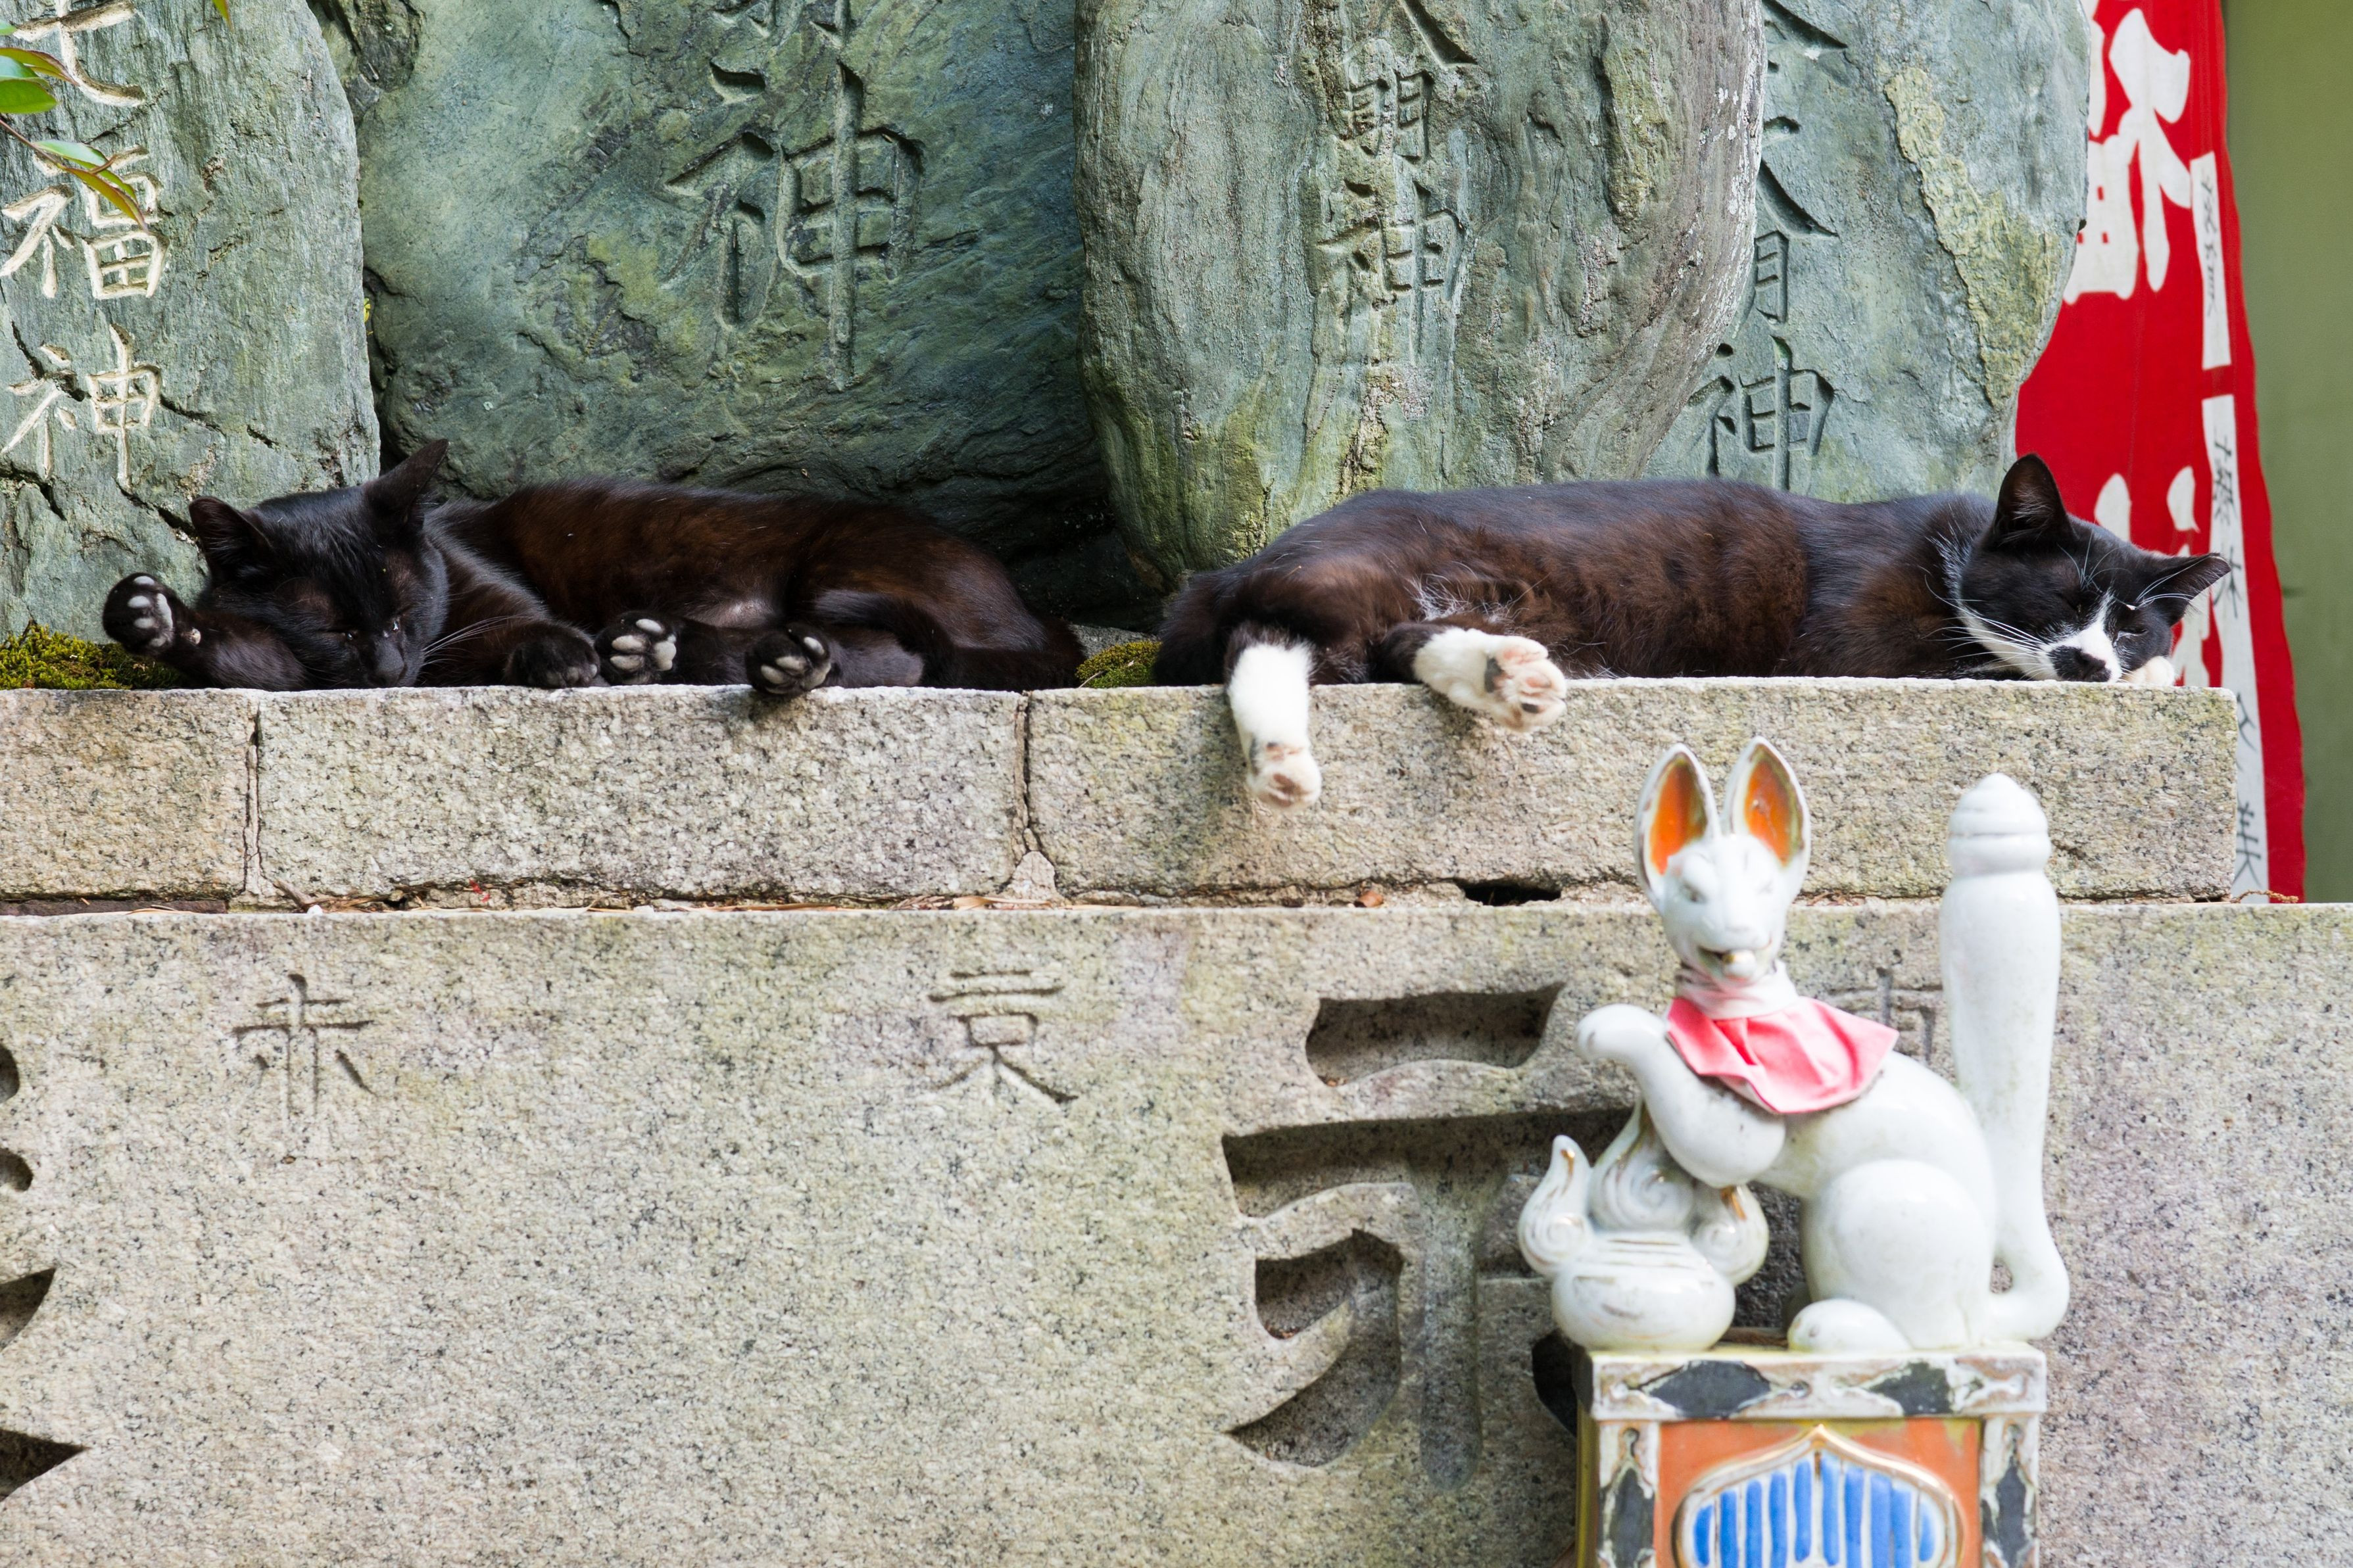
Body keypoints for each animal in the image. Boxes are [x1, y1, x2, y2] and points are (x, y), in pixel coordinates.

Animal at [102, 441, 1082, 696]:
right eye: (335, 628)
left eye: (405, 610)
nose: (387, 669)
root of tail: (1040, 613)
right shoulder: (295, 667)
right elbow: (243, 652)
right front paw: (153, 618)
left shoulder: (490, 604)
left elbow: (524, 628)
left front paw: (561, 658)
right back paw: (655, 649)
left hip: (844, 562)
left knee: (900, 654)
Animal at [1153, 455, 2232, 808]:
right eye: (2061, 598)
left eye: (2129, 623)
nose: (2092, 662)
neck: (1951, 555)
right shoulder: (1856, 647)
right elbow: (1987, 670)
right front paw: (2155, 685)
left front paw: (2151, 676)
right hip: (1362, 568)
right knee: (1269, 634)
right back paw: (1282, 763)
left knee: (1369, 649)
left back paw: (1510, 678)